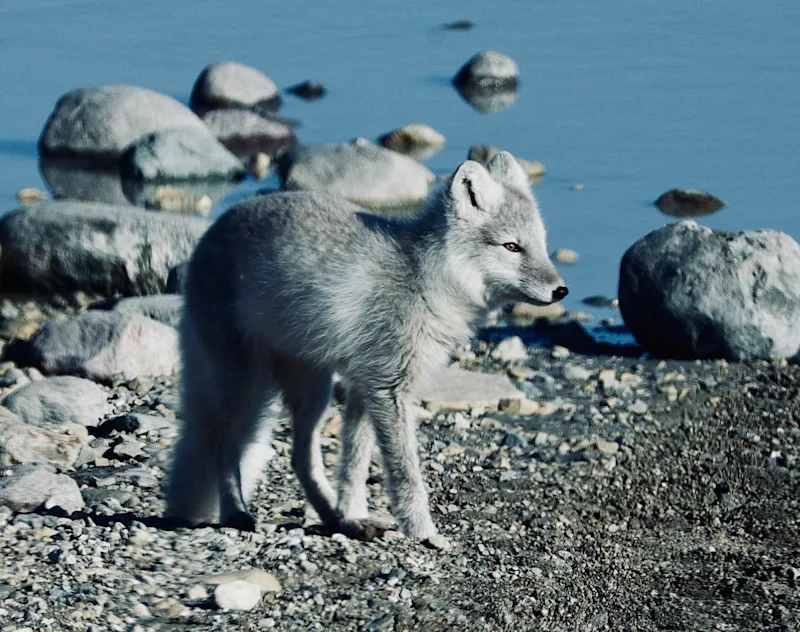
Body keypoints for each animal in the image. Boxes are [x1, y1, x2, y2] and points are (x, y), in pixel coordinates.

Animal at [165, 151, 567, 548]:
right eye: (511, 246)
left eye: (541, 244)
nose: (561, 290)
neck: (426, 280)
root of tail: (212, 232)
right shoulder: (388, 389)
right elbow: (406, 475)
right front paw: (423, 532)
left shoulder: (364, 386)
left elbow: (354, 467)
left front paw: (354, 514)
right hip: (245, 384)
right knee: (222, 442)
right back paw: (236, 512)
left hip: (313, 392)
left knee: (300, 460)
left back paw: (336, 519)